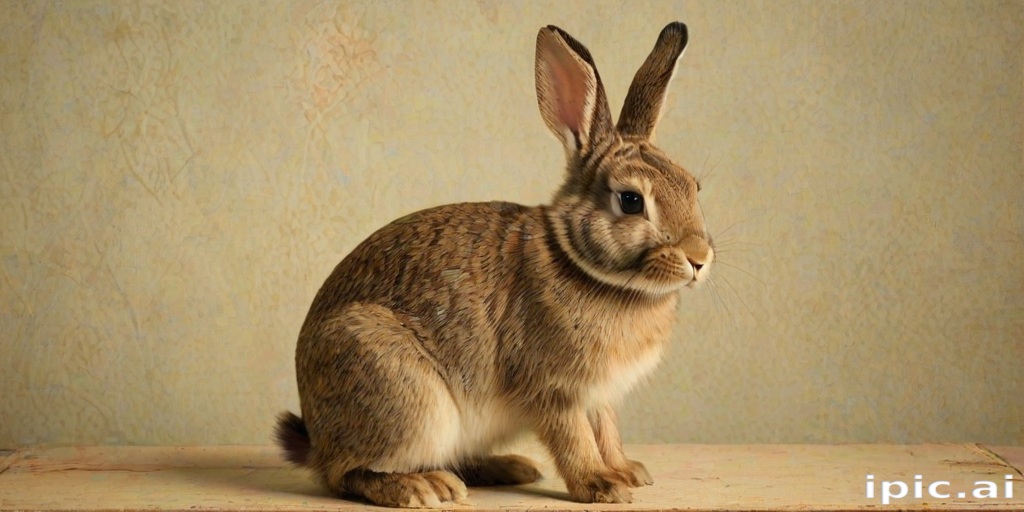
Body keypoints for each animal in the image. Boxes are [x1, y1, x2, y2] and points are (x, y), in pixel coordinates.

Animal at [275, 21, 713, 508]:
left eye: (692, 186)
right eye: (632, 201)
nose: (699, 259)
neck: (585, 266)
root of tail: (317, 438)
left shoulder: (600, 396)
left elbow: (607, 432)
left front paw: (627, 472)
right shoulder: (554, 389)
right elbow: (575, 438)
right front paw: (601, 485)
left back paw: (509, 468)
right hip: (406, 399)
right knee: (345, 474)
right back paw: (424, 487)